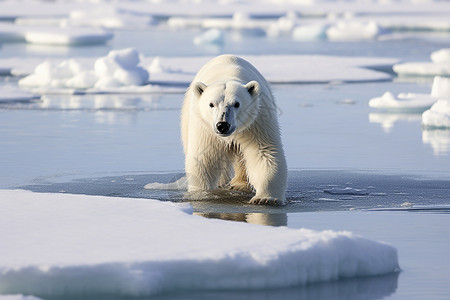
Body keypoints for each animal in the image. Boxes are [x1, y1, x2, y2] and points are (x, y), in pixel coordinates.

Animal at [180, 54, 288, 204]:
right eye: (211, 104)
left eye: (237, 104)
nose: (222, 125)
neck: (228, 74)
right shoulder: (204, 128)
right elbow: (204, 158)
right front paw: (201, 194)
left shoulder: (257, 120)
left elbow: (264, 153)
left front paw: (265, 198)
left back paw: (239, 185)